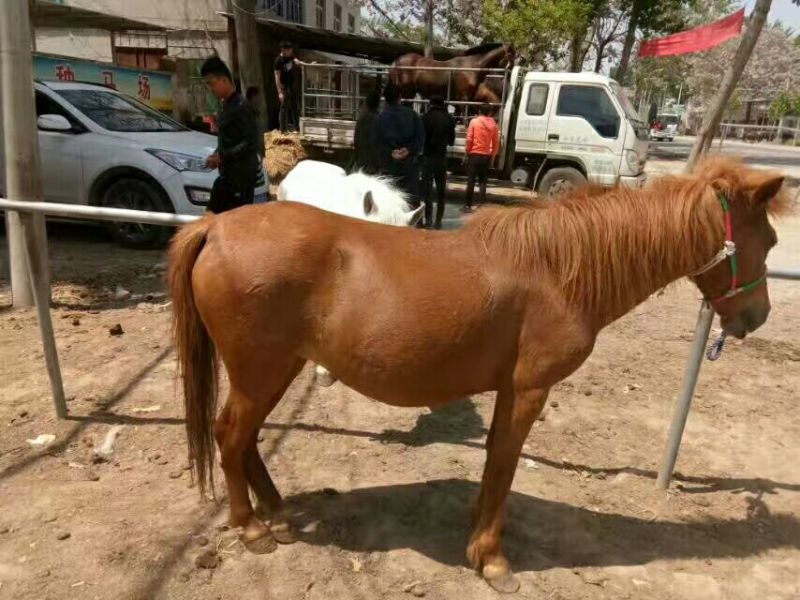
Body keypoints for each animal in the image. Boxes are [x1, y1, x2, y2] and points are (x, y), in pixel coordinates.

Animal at [169, 157, 786, 593]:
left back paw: (275, 510)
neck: (559, 269)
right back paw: (252, 528)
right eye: (772, 241)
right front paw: (491, 559)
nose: (757, 317)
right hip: (260, 370)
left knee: (246, 439)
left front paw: (477, 536)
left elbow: (494, 462)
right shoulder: (530, 390)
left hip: (275, 369)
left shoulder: (511, 391)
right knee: (230, 435)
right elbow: (505, 465)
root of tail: (216, 229)